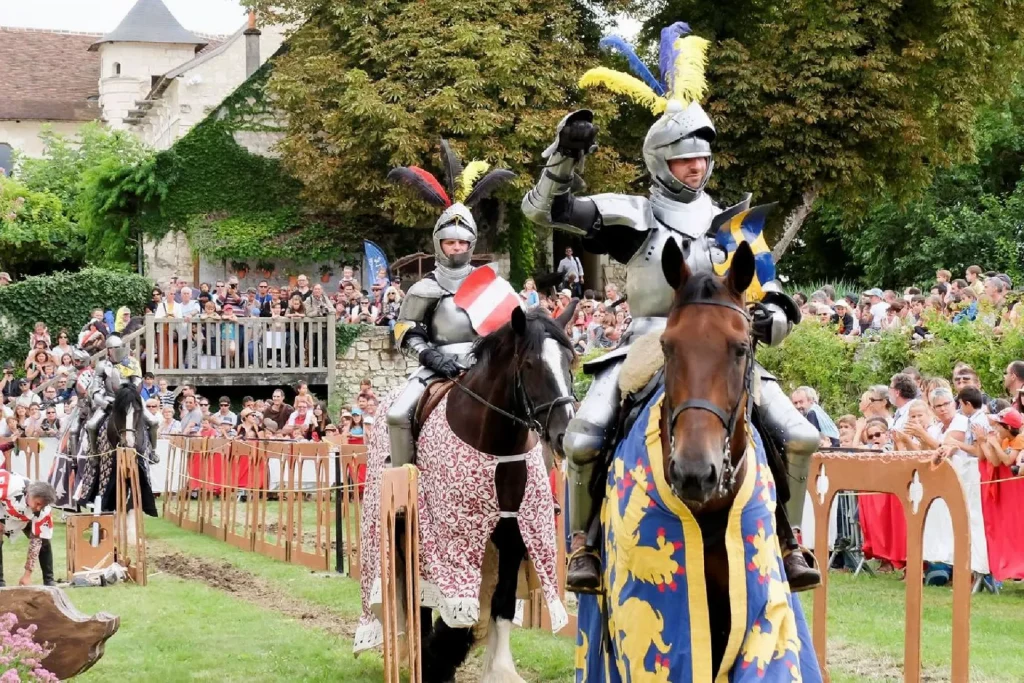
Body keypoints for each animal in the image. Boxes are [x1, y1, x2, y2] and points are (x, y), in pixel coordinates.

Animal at [354, 305, 577, 683]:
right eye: (530, 364)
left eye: (569, 360)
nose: (564, 433)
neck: (495, 446)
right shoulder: (447, 541)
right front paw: (435, 661)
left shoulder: (514, 534)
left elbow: (502, 604)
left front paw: (499, 669)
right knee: (417, 594)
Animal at [577, 241, 823, 683]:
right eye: (668, 346)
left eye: (741, 347)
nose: (694, 473)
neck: (709, 510)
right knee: (583, 441)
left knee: (799, 438)